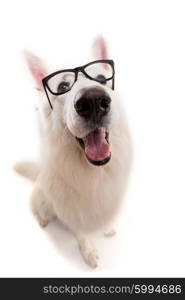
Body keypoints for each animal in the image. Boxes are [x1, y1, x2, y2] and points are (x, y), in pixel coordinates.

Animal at [15, 36, 132, 268]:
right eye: (62, 86)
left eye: (101, 79)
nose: (93, 101)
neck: (92, 172)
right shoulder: (71, 209)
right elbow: (81, 233)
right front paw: (88, 251)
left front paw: (106, 227)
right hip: (42, 200)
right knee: (36, 207)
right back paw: (42, 219)